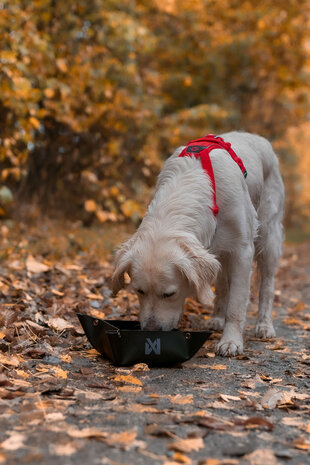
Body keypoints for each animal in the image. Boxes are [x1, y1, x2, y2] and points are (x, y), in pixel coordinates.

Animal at [112, 130, 284, 356]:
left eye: (169, 294)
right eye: (139, 291)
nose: (150, 330)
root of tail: (257, 137)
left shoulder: (242, 250)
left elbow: (237, 304)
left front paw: (231, 341)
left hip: (268, 236)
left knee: (267, 285)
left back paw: (264, 325)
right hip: (219, 253)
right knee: (222, 286)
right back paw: (217, 318)